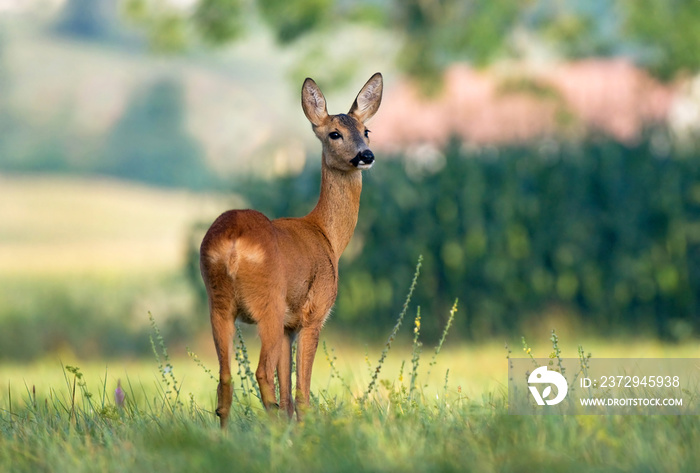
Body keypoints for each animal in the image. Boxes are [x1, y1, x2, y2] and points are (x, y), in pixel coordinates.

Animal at [200, 72, 382, 426]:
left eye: (366, 131)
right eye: (334, 133)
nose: (366, 155)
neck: (327, 235)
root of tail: (232, 244)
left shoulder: (288, 327)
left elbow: (288, 395)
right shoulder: (313, 314)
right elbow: (301, 394)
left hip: (218, 304)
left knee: (225, 380)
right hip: (267, 303)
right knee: (261, 373)